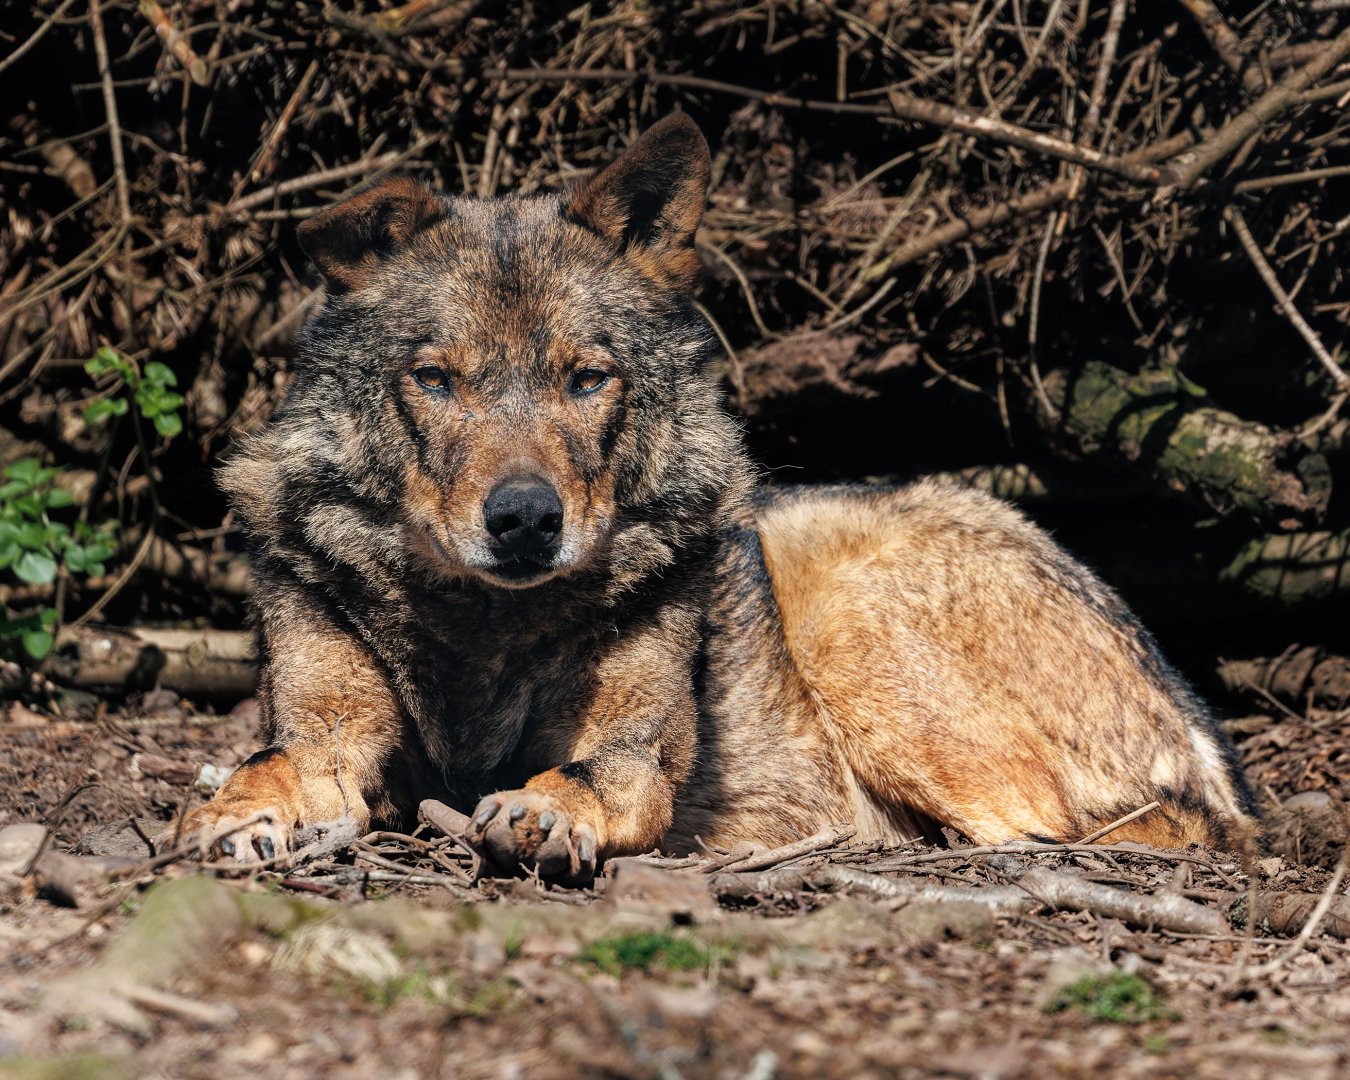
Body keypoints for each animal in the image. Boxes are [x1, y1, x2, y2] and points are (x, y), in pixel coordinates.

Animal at [176, 114, 1258, 877]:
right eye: (435, 379)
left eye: (588, 378)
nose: (525, 520)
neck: (482, 631)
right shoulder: (331, 732)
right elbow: (273, 758)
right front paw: (230, 809)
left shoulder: (631, 748)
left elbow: (586, 770)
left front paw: (542, 806)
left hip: (847, 617)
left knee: (1057, 830)